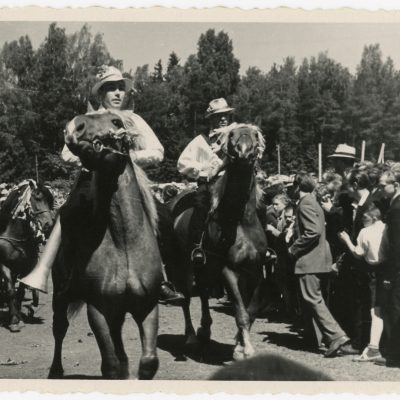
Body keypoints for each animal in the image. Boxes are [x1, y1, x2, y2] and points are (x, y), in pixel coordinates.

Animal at [0, 181, 53, 332]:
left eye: (50, 201)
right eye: (37, 197)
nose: (49, 224)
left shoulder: (27, 267)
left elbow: (20, 292)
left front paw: (18, 316)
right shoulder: (4, 265)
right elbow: (11, 291)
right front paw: (14, 320)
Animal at [49, 111, 162, 380]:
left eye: (117, 122)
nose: (74, 127)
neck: (125, 245)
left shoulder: (147, 307)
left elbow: (148, 362)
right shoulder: (98, 310)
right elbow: (109, 365)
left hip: (118, 311)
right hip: (61, 296)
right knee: (59, 329)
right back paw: (56, 370)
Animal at [173, 123, 268, 360]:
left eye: (255, 135)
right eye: (232, 135)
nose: (244, 152)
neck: (240, 221)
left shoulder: (255, 270)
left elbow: (250, 311)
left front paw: (239, 344)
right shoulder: (228, 271)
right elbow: (240, 311)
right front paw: (246, 349)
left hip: (204, 268)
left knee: (203, 293)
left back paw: (205, 329)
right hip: (183, 267)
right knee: (186, 299)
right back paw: (191, 337)